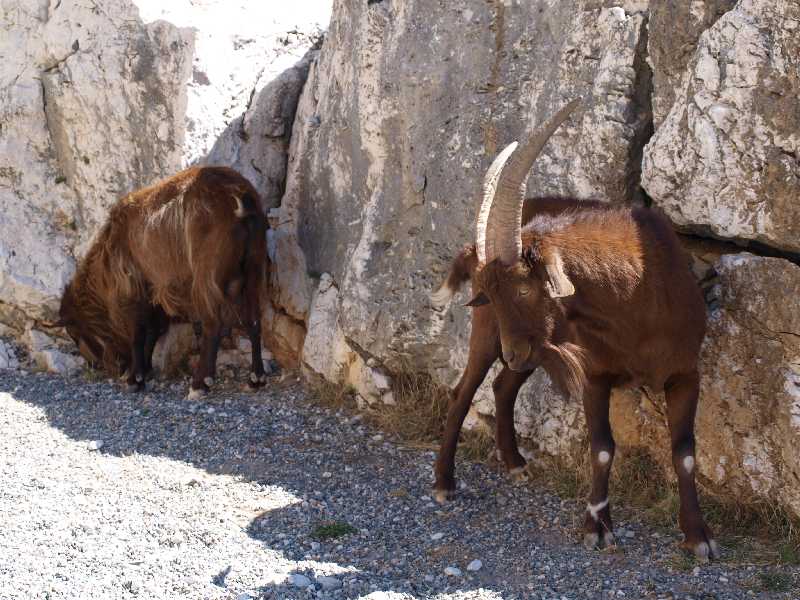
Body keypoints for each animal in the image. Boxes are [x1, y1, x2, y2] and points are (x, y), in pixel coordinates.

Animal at [56, 165, 270, 398]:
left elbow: (138, 334)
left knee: (213, 323)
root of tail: (240, 195)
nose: (94, 366)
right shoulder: (155, 288)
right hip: (254, 267)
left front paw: (134, 378)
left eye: (74, 334)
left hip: (207, 275)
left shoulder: (132, 287)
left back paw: (199, 384)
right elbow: (153, 330)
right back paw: (256, 378)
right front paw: (145, 371)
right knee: (254, 320)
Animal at [428, 101, 716, 560]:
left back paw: (515, 462)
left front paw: (697, 536)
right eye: (490, 294)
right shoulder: (595, 374)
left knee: (504, 386)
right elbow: (601, 449)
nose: (513, 352)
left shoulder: (686, 373)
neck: (638, 294)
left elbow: (685, 454)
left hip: (537, 350)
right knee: (464, 391)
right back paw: (444, 482)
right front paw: (597, 526)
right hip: (495, 339)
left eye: (523, 287)